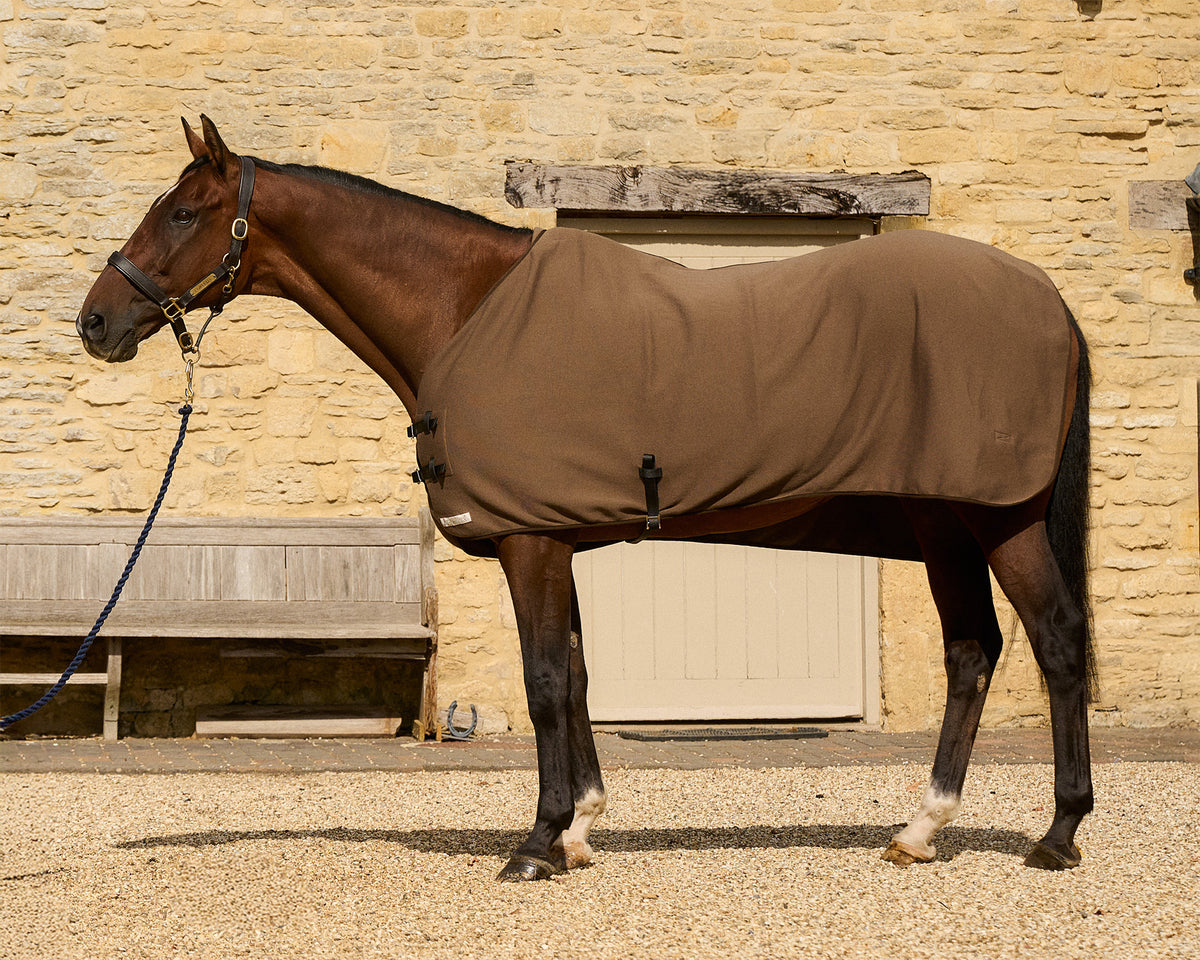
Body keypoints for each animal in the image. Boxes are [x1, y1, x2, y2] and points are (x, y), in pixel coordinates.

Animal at [77, 116, 1095, 880]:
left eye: (184, 211)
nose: (95, 321)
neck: (465, 309)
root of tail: (1049, 300)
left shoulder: (529, 541)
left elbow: (544, 681)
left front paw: (537, 842)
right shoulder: (555, 540)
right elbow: (575, 672)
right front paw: (580, 828)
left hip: (1000, 522)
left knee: (1054, 643)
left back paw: (1057, 834)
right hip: (944, 525)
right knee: (972, 653)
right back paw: (921, 829)